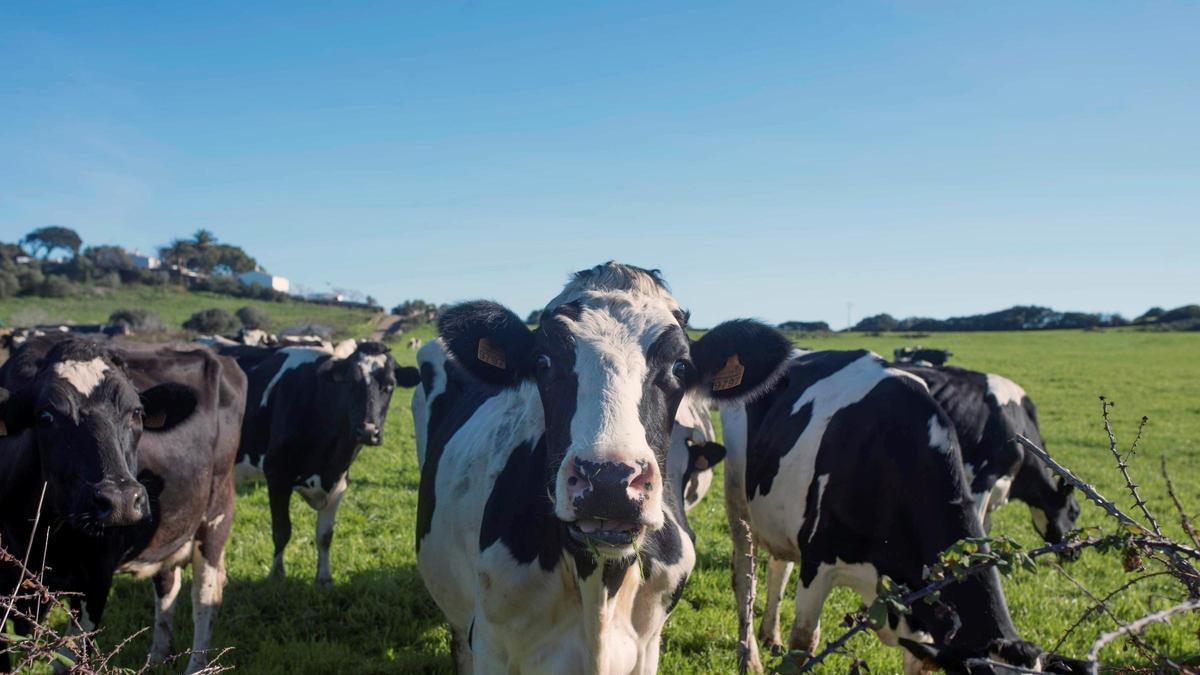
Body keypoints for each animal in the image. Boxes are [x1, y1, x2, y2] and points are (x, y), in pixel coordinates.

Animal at [0, 336, 246, 674]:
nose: (120, 500)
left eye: (136, 413)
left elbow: (69, 659)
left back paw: (196, 665)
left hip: (217, 513)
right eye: (46, 417)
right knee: (167, 586)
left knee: (204, 596)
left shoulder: (96, 578)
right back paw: (158, 658)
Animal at [220, 340, 420, 585]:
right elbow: (281, 530)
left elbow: (325, 535)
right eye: (350, 382)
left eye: (390, 385)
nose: (367, 431)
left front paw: (324, 577)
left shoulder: (339, 482)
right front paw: (276, 575)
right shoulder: (277, 474)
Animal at [412, 262, 795, 674]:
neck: (598, 589)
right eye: (543, 362)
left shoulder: (646, 648)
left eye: (680, 366)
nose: (609, 480)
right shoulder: (491, 644)